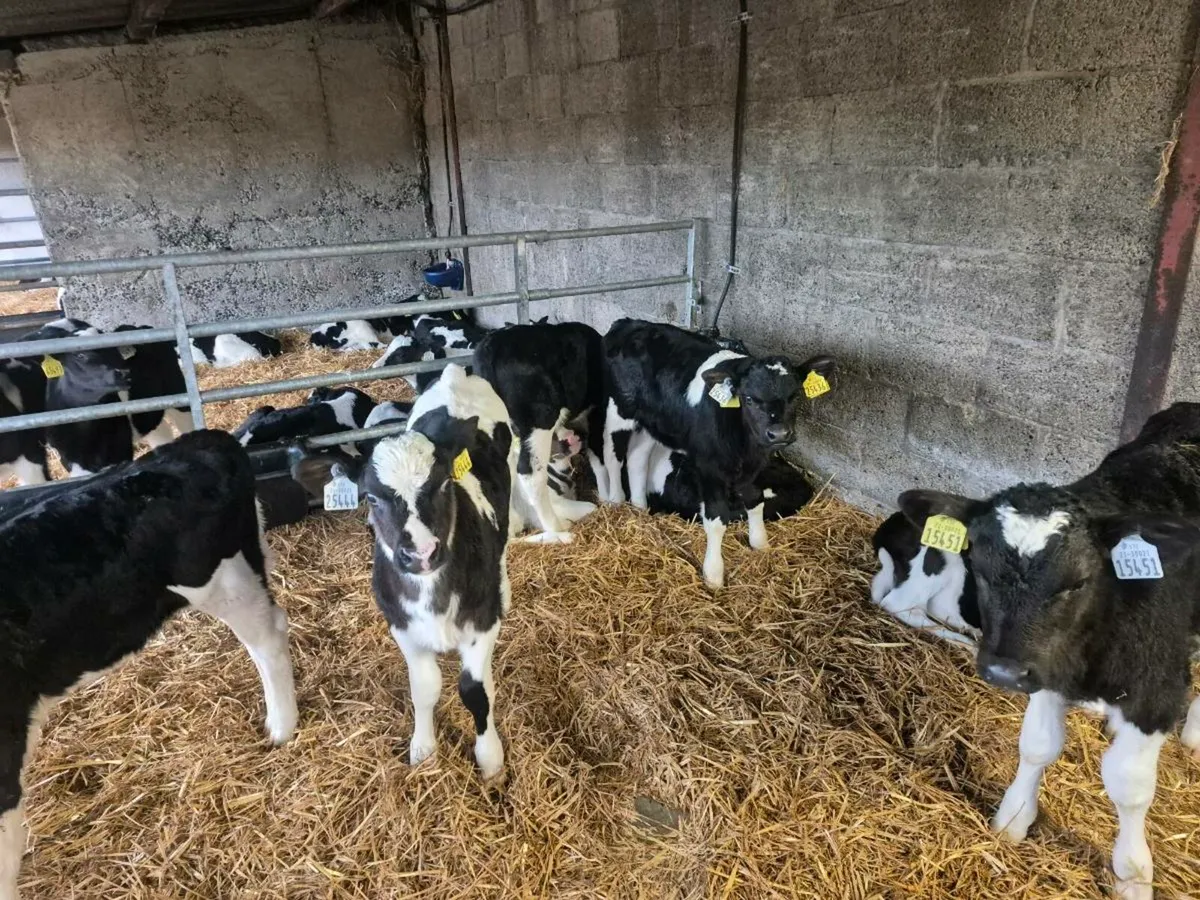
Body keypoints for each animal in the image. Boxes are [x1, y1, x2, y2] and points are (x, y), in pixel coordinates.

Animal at [896, 401, 1200, 900]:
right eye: (978, 567)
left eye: (1076, 582)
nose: (1002, 672)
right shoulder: (1041, 665)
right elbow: (1037, 746)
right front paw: (1013, 818)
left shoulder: (1156, 690)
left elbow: (1129, 785)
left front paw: (1132, 874)